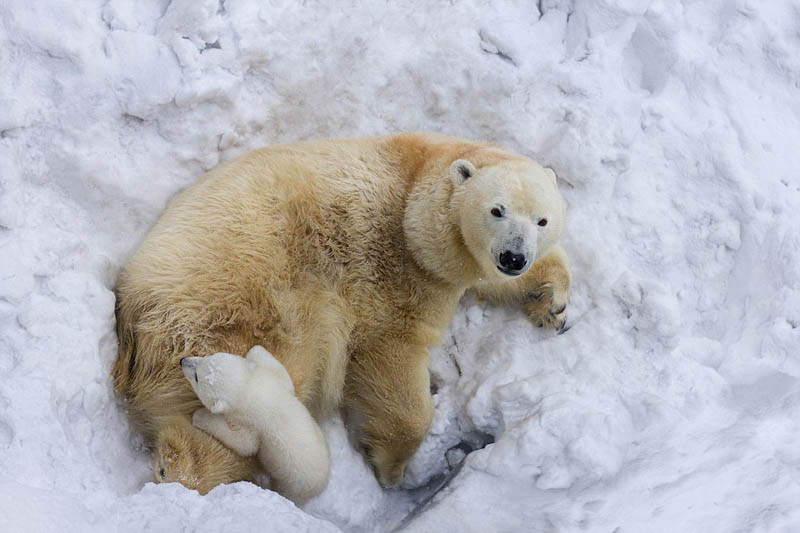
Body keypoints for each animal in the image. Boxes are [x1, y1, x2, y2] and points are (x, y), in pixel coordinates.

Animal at [180, 344, 330, 502]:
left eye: (197, 377)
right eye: (207, 357)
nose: (182, 360)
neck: (252, 391)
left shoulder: (252, 423)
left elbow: (246, 443)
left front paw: (200, 415)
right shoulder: (275, 385)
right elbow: (284, 377)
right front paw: (255, 350)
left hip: (293, 484)